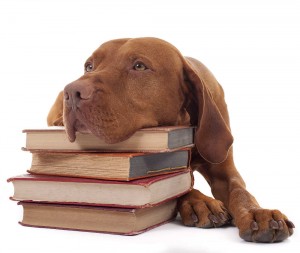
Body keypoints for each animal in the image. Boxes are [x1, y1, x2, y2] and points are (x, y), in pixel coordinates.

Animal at [48, 36, 294, 242]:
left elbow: (241, 191)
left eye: (139, 66)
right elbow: (183, 185)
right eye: (89, 66)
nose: (72, 92)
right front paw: (200, 202)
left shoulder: (225, 169)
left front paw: (257, 213)